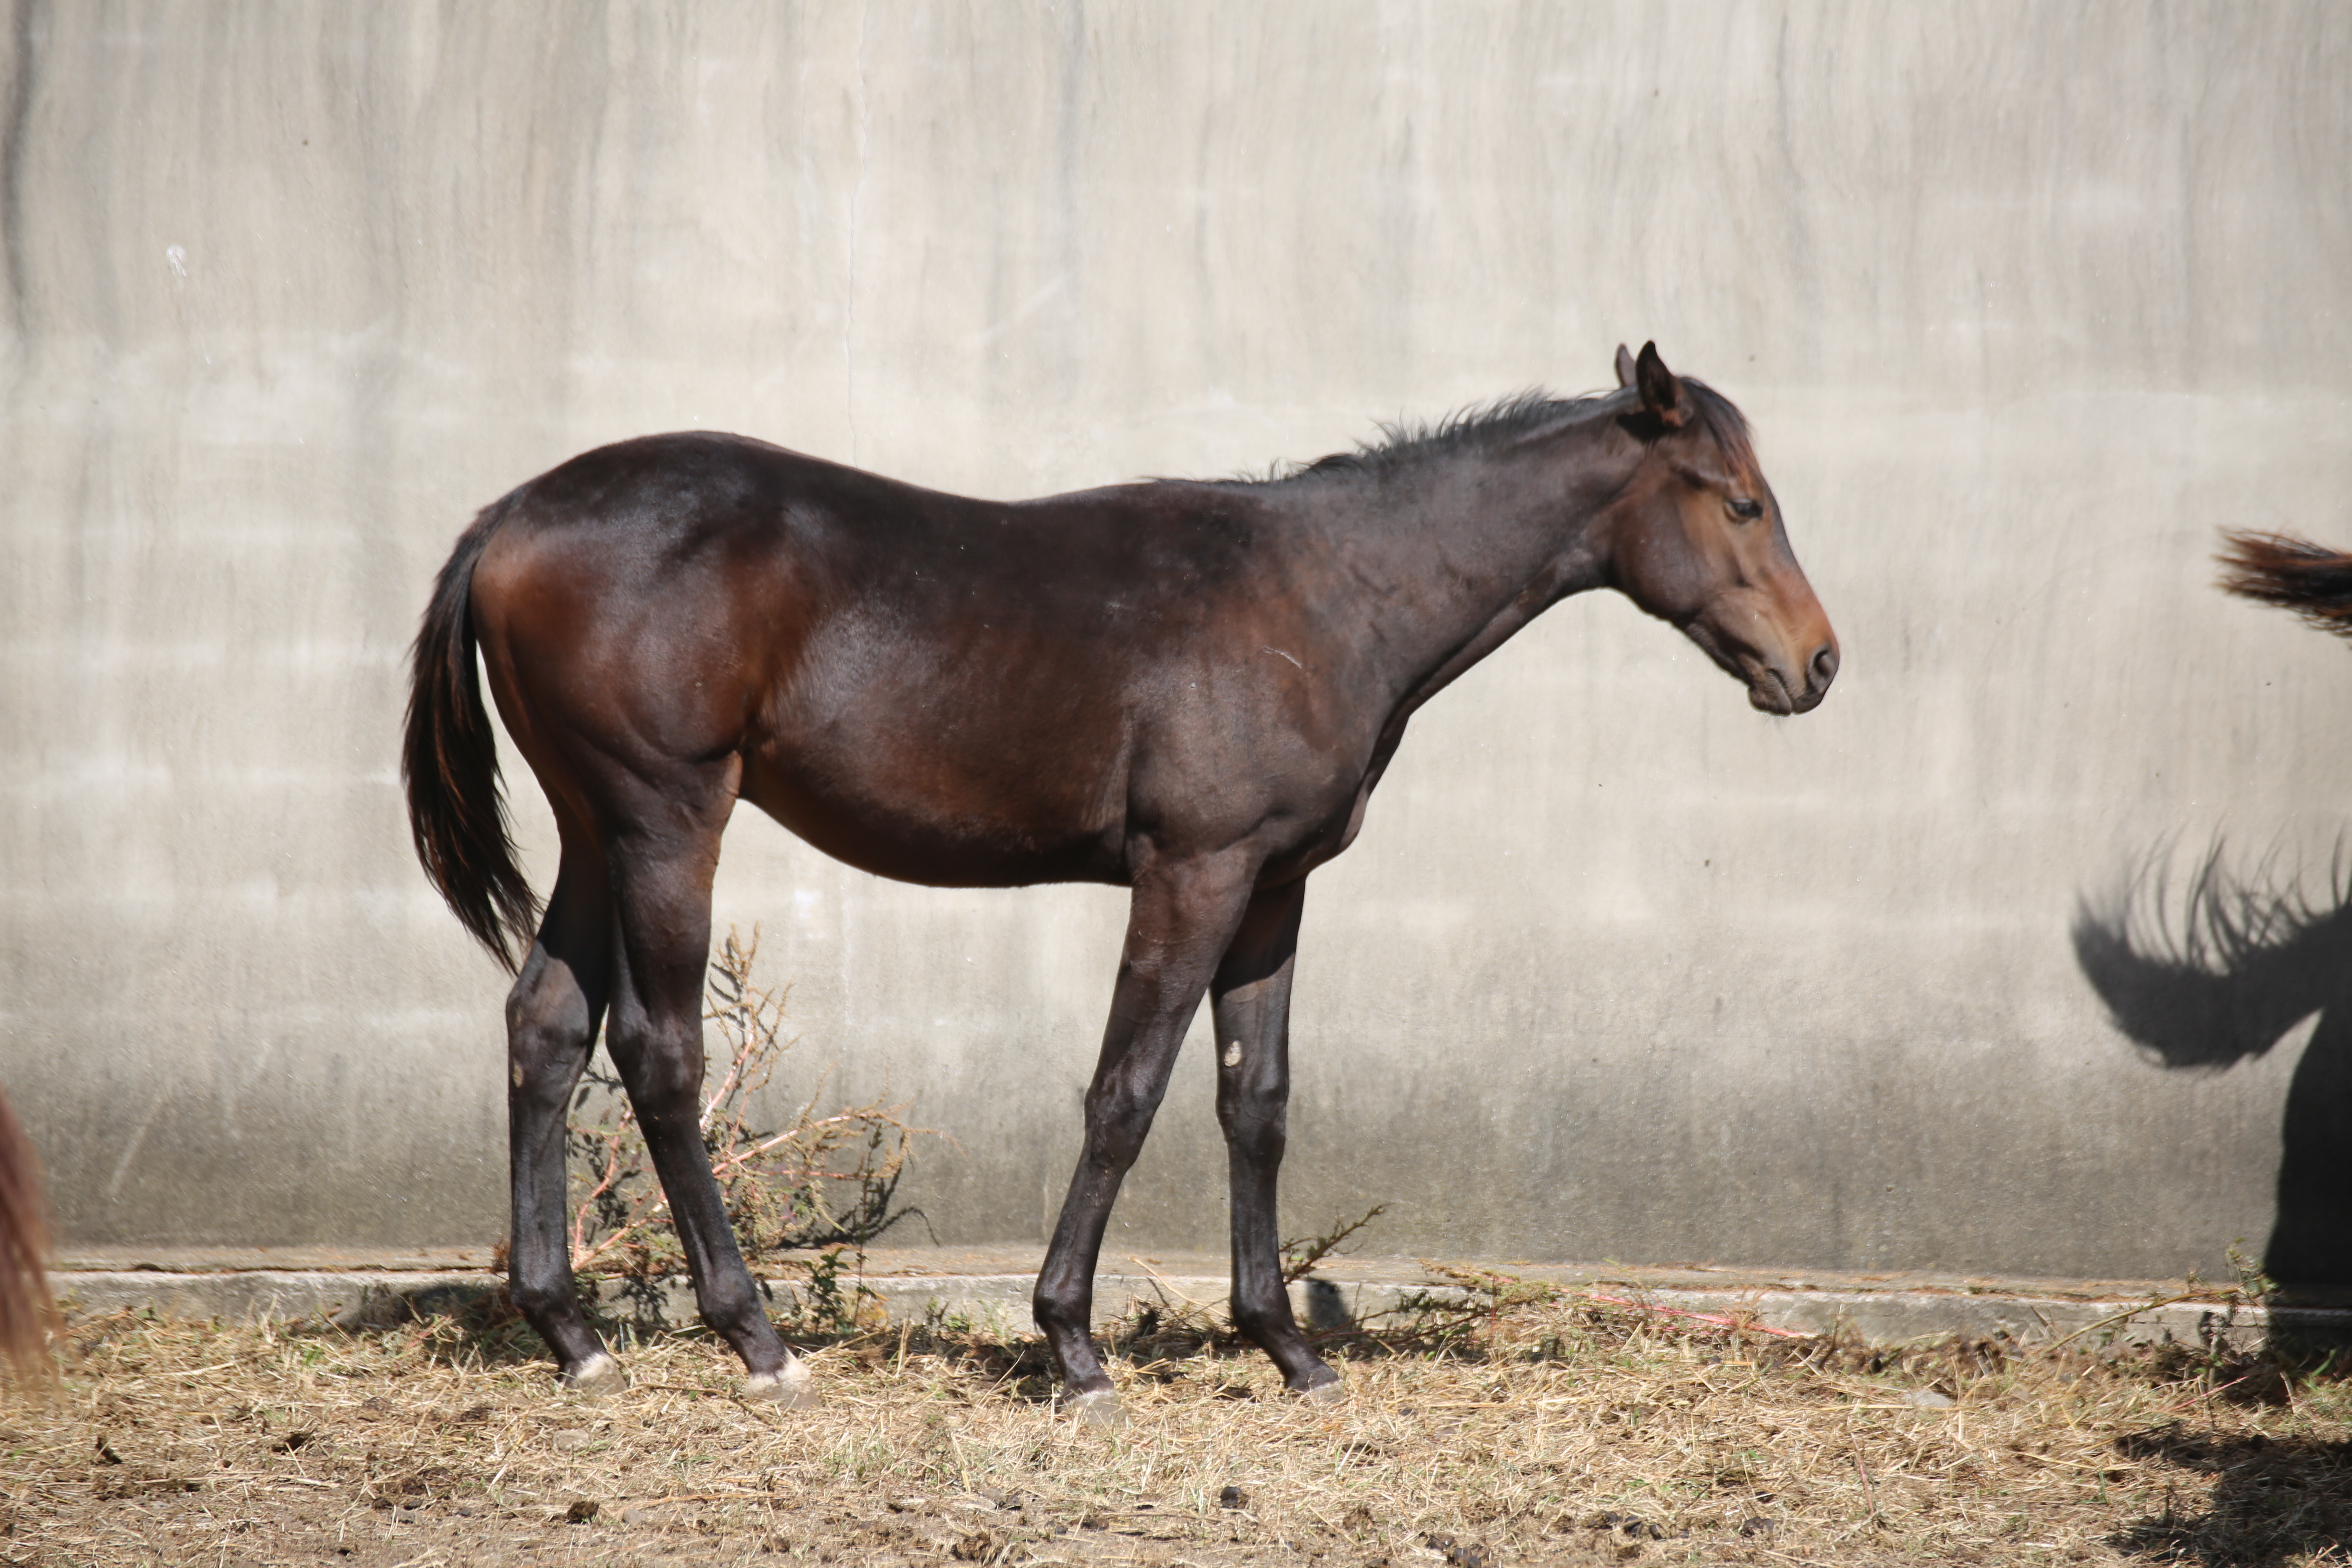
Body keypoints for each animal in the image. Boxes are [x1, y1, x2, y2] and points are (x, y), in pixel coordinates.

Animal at [404, 345, 1834, 1420]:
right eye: (1739, 501)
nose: (1817, 664)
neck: (1326, 596)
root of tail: (512, 518)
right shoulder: (1192, 873)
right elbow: (1127, 1094)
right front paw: (1074, 1347)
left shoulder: (1272, 889)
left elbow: (1254, 1102)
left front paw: (1288, 1348)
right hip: (664, 820)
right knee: (659, 1052)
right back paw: (757, 1339)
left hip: (596, 829)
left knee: (545, 1026)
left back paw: (573, 1336)